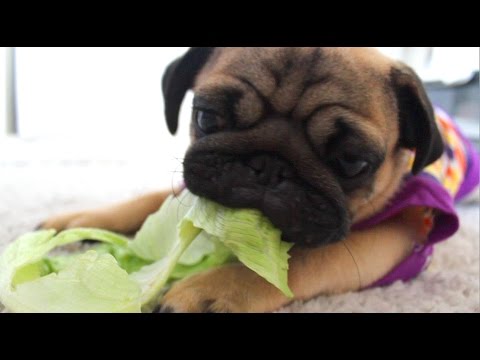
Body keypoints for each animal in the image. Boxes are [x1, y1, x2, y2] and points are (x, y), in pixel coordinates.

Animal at [41, 47, 446, 312]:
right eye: (207, 117)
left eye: (352, 162)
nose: (269, 166)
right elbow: (152, 200)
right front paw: (84, 221)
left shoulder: (396, 232)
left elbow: (305, 261)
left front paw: (214, 287)